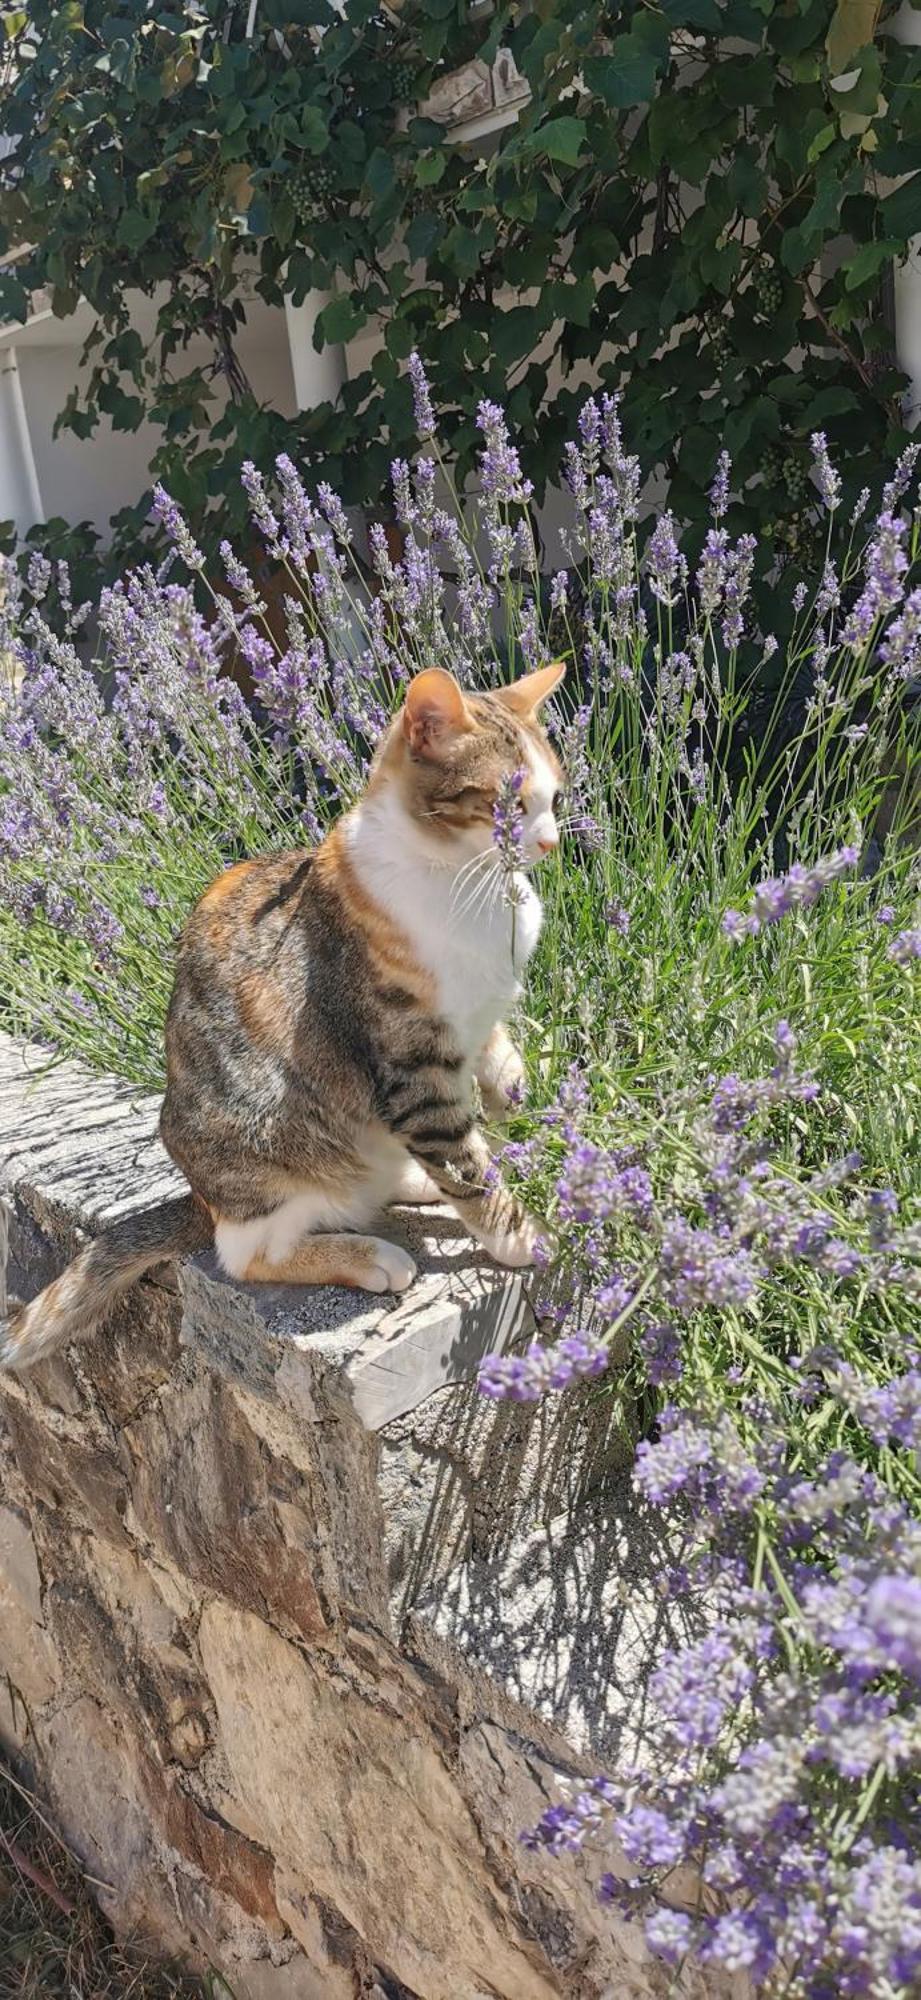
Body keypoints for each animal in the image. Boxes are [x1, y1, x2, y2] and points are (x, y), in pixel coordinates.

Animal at [0, 660, 564, 1376]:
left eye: (555, 799)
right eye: (509, 804)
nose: (549, 842)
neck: (463, 879)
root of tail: (202, 1198)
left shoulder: (478, 1024)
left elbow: (496, 1066)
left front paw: (514, 1101)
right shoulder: (412, 1064)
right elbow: (465, 1165)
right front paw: (519, 1234)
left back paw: (416, 1180)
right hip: (268, 1156)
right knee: (247, 1255)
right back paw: (370, 1255)